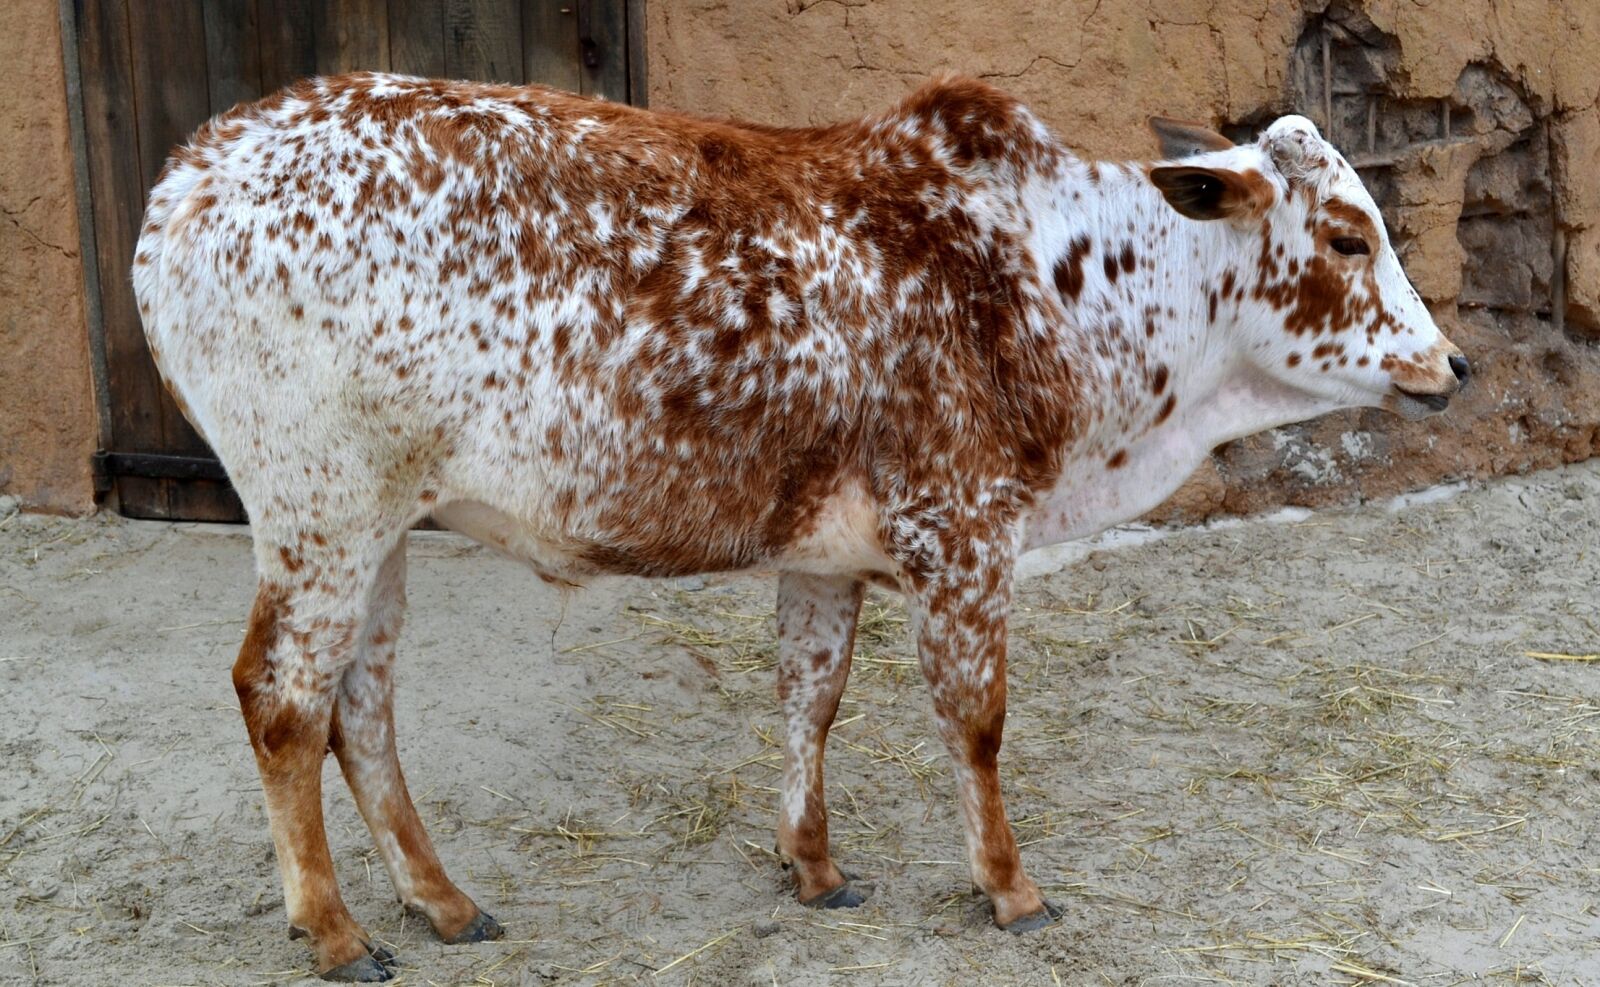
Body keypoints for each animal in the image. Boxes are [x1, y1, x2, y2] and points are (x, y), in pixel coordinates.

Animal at [132, 73, 1466, 980]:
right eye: (1346, 234)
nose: (1450, 364)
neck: (1054, 281)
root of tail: (196, 168)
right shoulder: (960, 532)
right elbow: (975, 723)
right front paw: (1009, 887)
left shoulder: (831, 557)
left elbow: (808, 695)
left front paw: (811, 864)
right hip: (320, 511)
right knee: (282, 701)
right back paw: (335, 927)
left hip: (381, 529)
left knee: (361, 706)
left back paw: (440, 898)